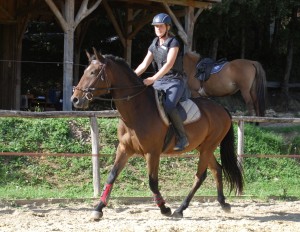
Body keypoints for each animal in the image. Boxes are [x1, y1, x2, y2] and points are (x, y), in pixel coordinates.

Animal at [71, 48, 244, 219]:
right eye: (85, 71)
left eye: (93, 72)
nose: (75, 99)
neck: (137, 110)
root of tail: (221, 108)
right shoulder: (124, 149)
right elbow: (112, 176)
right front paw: (98, 208)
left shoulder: (152, 153)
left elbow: (152, 182)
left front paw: (164, 208)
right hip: (203, 147)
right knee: (217, 169)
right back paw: (222, 203)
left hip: (208, 147)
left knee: (200, 176)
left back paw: (180, 209)